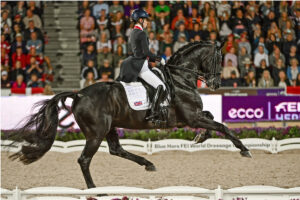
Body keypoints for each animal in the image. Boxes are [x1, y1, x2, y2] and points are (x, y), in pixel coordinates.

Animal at [8, 41, 251, 189]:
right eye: (219, 58)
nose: (216, 84)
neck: (180, 78)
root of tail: (79, 94)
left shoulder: (192, 116)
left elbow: (212, 118)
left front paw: (201, 137)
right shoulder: (191, 117)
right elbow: (222, 126)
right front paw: (244, 149)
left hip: (110, 127)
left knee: (116, 150)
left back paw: (147, 164)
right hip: (96, 133)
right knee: (84, 159)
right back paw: (94, 189)